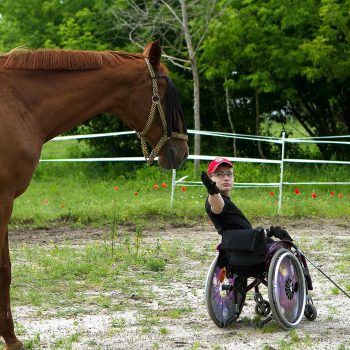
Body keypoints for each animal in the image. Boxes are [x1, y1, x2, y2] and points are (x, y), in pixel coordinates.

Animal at [0, 40, 189, 348]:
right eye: (165, 94)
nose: (181, 151)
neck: (18, 104)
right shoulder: (4, 201)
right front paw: (11, 338)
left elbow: (6, 269)